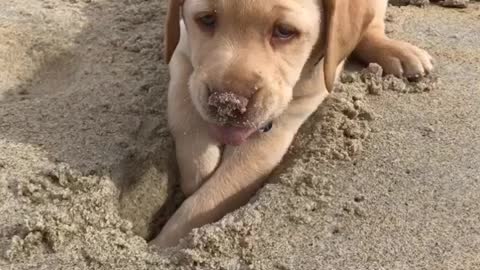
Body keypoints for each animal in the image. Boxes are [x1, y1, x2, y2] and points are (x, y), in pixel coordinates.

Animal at [151, 0, 436, 248]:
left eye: (285, 31)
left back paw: (398, 53)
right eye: (207, 19)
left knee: (368, 27)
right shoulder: (181, 51)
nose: (227, 103)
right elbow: (184, 105)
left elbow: (206, 202)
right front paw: (198, 169)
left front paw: (160, 245)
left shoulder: (274, 130)